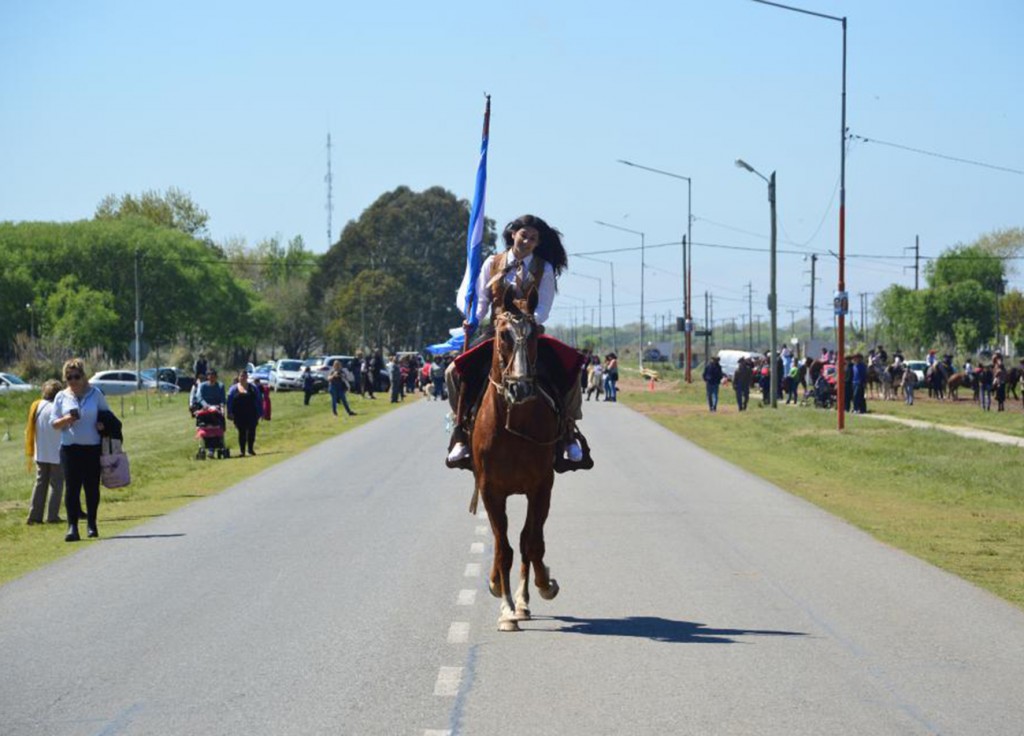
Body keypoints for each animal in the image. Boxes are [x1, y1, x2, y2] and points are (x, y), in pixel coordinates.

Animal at [471, 290, 561, 630]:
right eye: (504, 334)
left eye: (534, 334)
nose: (520, 387)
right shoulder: (490, 491)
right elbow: (503, 549)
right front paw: (507, 608)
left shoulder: (540, 488)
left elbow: (528, 543)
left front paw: (526, 598)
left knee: (534, 539)